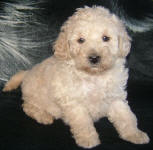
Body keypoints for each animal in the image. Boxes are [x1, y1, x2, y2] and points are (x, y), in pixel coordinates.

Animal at [3, 6, 149, 149]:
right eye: (81, 40)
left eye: (106, 38)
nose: (94, 58)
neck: (94, 76)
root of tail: (28, 73)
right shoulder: (74, 102)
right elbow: (83, 122)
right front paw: (88, 140)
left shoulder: (115, 97)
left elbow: (126, 116)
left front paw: (135, 134)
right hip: (35, 96)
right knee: (28, 106)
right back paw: (44, 116)